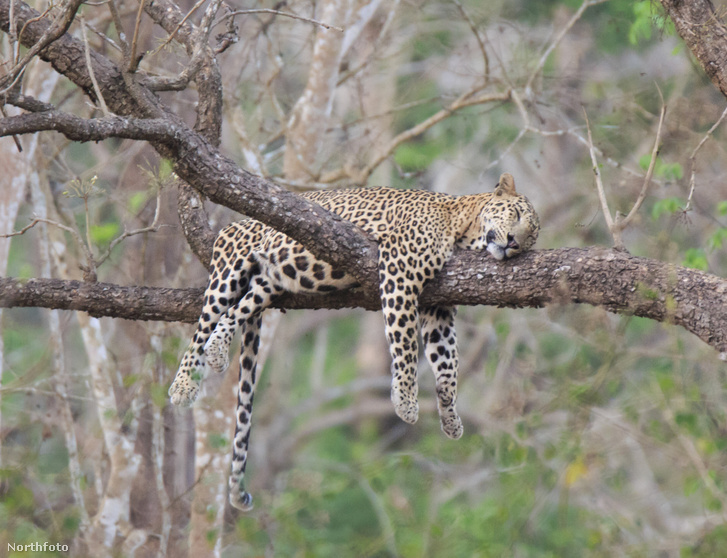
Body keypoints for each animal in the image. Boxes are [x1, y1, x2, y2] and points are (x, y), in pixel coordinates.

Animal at [169, 172, 540, 511]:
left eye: (530, 239)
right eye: (516, 215)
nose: (513, 244)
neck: (462, 225)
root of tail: (236, 225)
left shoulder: (438, 308)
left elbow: (447, 365)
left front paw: (450, 417)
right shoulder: (400, 272)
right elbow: (404, 341)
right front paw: (405, 400)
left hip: (269, 282)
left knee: (236, 311)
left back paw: (218, 350)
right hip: (230, 262)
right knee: (203, 323)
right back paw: (183, 385)